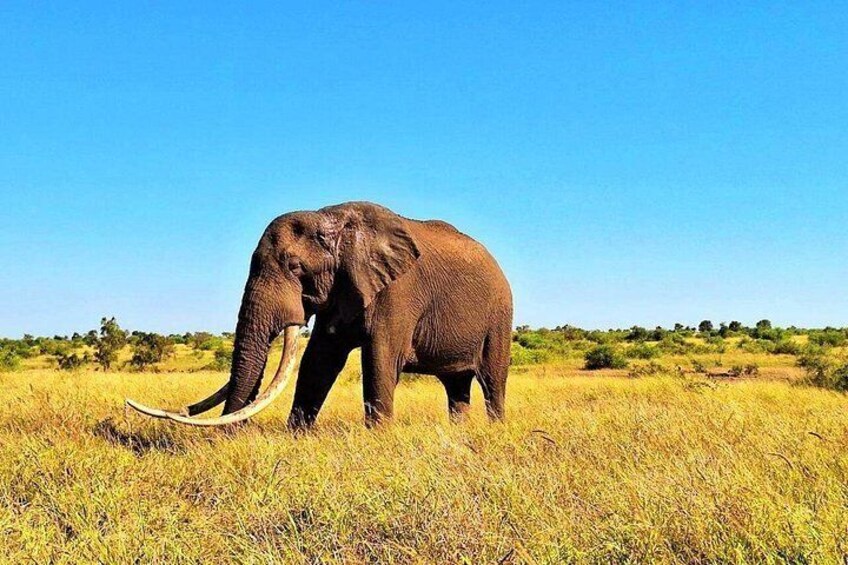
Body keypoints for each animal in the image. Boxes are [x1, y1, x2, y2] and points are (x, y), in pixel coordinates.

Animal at [127, 201, 513, 428]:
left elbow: (380, 359)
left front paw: (379, 438)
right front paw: (296, 435)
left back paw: (493, 431)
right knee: (456, 386)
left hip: (500, 314)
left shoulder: (399, 291)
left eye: (295, 268)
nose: (231, 439)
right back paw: (459, 434)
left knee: (492, 380)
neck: (333, 219)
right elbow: (319, 360)